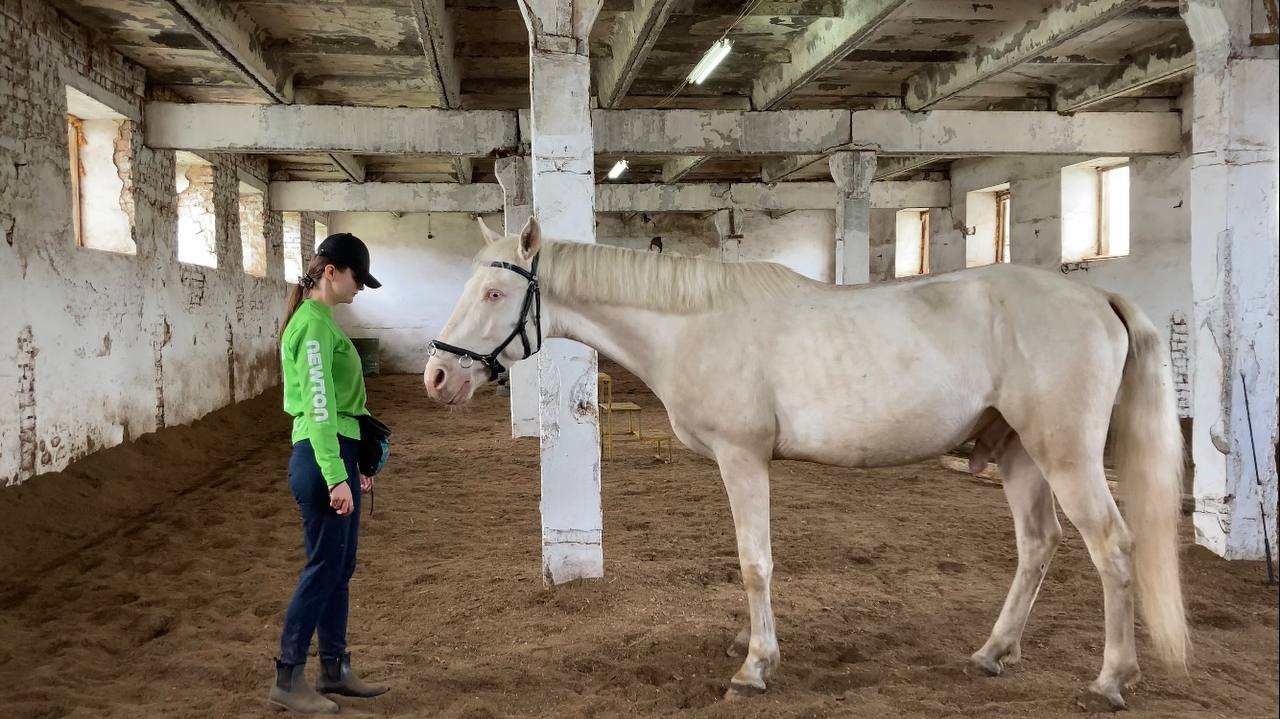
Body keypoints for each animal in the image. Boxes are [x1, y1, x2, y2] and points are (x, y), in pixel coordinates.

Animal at [427, 214, 1187, 706]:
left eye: (494, 293)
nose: (438, 377)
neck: (696, 323)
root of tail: (1096, 295)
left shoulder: (742, 457)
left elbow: (754, 561)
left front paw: (755, 666)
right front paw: (749, 642)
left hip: (1066, 456)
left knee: (1112, 547)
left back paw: (1111, 680)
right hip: (1020, 453)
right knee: (1038, 545)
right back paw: (992, 654)